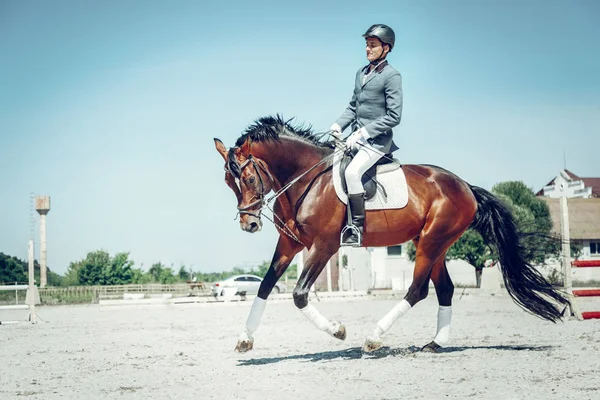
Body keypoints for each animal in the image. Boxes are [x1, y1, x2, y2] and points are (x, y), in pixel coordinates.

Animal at [213, 115, 568, 354]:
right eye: (229, 182)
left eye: (247, 177)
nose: (249, 224)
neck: (307, 181)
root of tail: (465, 185)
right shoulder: (290, 243)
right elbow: (265, 286)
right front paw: (245, 338)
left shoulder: (325, 246)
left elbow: (299, 294)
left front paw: (338, 330)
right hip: (434, 244)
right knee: (445, 289)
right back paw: (436, 343)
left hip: (431, 242)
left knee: (417, 290)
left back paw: (373, 338)